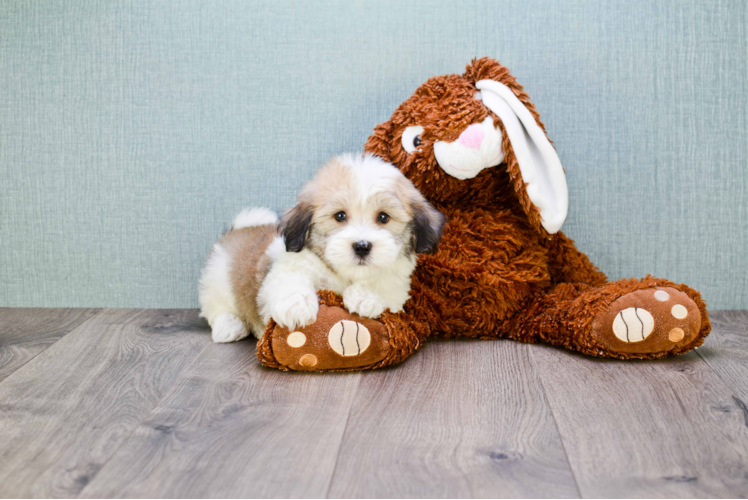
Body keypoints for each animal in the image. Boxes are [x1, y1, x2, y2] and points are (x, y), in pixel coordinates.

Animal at [197, 154, 444, 344]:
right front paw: (296, 305)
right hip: (217, 279)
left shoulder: (397, 290)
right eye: (340, 216)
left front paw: (365, 297)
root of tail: (239, 228)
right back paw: (230, 326)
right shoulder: (285, 269)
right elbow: (289, 281)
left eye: (383, 217)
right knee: (216, 308)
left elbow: (383, 288)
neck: (343, 275)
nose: (362, 246)